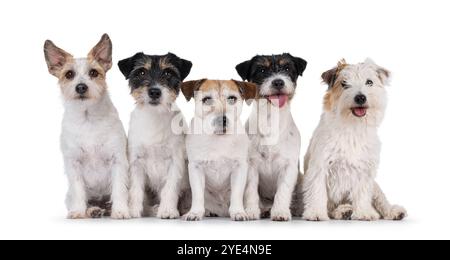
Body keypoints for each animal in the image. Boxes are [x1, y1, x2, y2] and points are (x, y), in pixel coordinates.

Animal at [44, 33, 130, 218]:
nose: (81, 87)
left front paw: (120, 210)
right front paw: (77, 211)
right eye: (69, 74)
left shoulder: (118, 160)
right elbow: (78, 189)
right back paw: (93, 210)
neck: (88, 118)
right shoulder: (73, 163)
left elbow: (119, 188)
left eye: (93, 72)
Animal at [180, 79, 256, 221]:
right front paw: (195, 212)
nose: (222, 119)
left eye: (232, 98)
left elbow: (236, 193)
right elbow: (198, 194)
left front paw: (238, 212)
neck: (219, 138)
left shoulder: (239, 168)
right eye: (207, 99)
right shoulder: (196, 168)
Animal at [234, 53, 308, 221]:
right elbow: (251, 191)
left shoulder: (289, 167)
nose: (278, 82)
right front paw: (251, 211)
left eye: (287, 68)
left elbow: (283, 191)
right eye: (261, 70)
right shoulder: (251, 166)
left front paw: (280, 211)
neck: (270, 119)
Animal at [302, 59, 408, 221]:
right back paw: (343, 211)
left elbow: (362, 193)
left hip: (376, 188)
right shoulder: (320, 167)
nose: (360, 97)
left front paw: (364, 212)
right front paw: (316, 213)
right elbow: (317, 192)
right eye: (344, 83)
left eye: (369, 82)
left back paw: (392, 211)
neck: (353, 127)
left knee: (381, 201)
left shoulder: (364, 170)